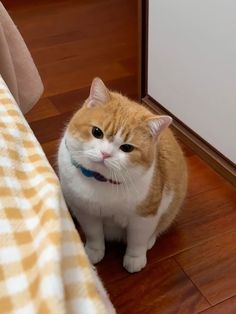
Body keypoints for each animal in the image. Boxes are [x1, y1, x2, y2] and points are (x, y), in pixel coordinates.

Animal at [58, 78, 187, 272]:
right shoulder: (84, 211)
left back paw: (150, 241)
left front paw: (135, 259)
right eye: (97, 132)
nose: (105, 154)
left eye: (127, 148)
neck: (102, 181)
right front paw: (93, 252)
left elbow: (137, 241)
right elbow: (94, 234)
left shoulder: (144, 217)